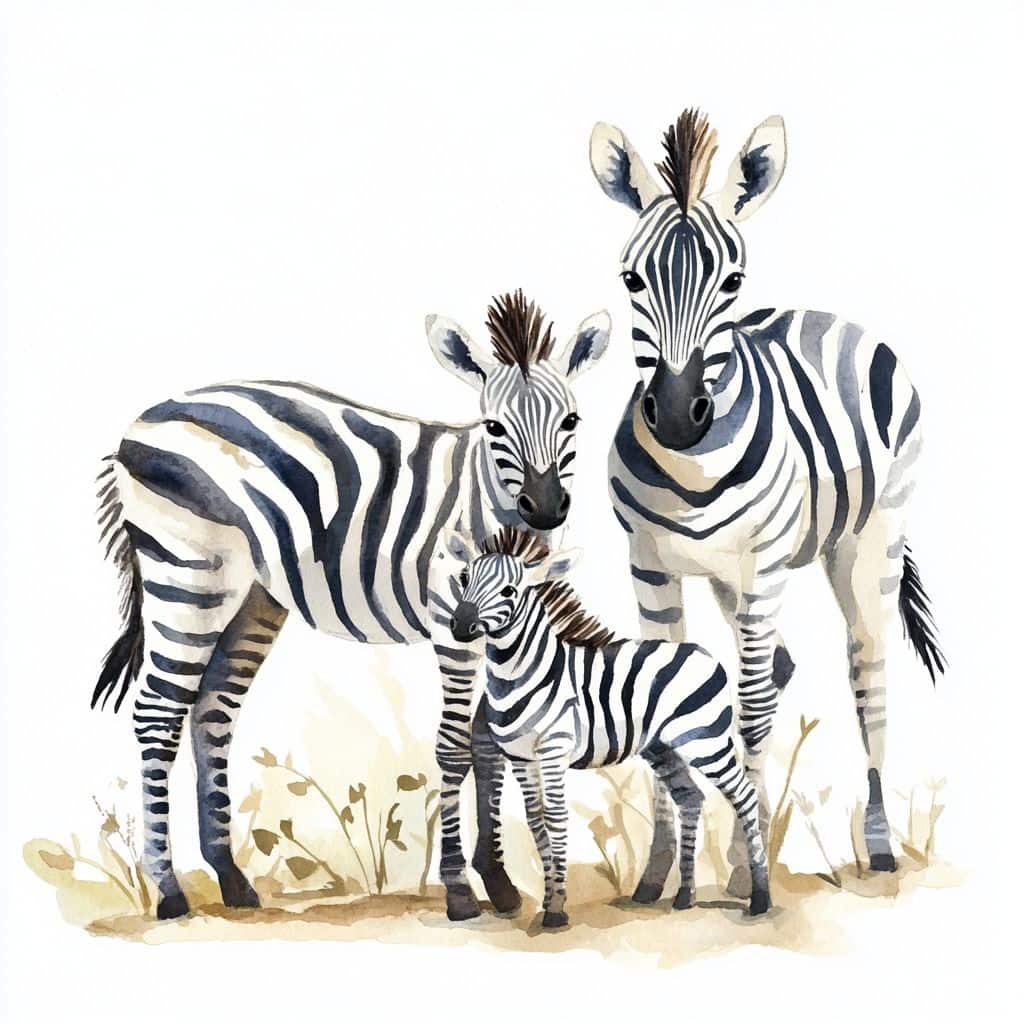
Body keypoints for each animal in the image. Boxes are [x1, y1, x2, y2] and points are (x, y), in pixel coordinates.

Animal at [91, 290, 610, 920]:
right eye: (494, 426)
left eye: (571, 421)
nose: (545, 507)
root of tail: (142, 420)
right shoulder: (454, 622)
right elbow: (456, 745)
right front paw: (461, 890)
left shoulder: (501, 625)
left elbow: (491, 740)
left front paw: (501, 882)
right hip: (189, 577)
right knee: (157, 712)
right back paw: (168, 889)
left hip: (254, 598)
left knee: (211, 711)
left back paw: (232, 880)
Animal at [442, 527, 771, 927]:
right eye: (464, 578)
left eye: (509, 591)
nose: (460, 626)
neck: (520, 672)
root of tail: (702, 652)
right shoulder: (520, 756)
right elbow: (536, 820)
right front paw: (549, 899)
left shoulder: (553, 748)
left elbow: (555, 818)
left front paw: (556, 908)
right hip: (662, 747)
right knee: (690, 797)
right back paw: (685, 896)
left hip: (706, 741)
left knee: (744, 794)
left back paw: (760, 897)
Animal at [587, 108, 945, 893]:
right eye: (630, 278)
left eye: (732, 280)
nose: (678, 415)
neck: (690, 473)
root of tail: (830, 318)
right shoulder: (648, 564)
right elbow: (659, 696)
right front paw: (661, 875)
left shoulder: (761, 566)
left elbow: (749, 706)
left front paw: (748, 879)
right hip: (733, 574)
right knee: (780, 666)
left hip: (866, 541)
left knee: (867, 669)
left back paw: (878, 846)